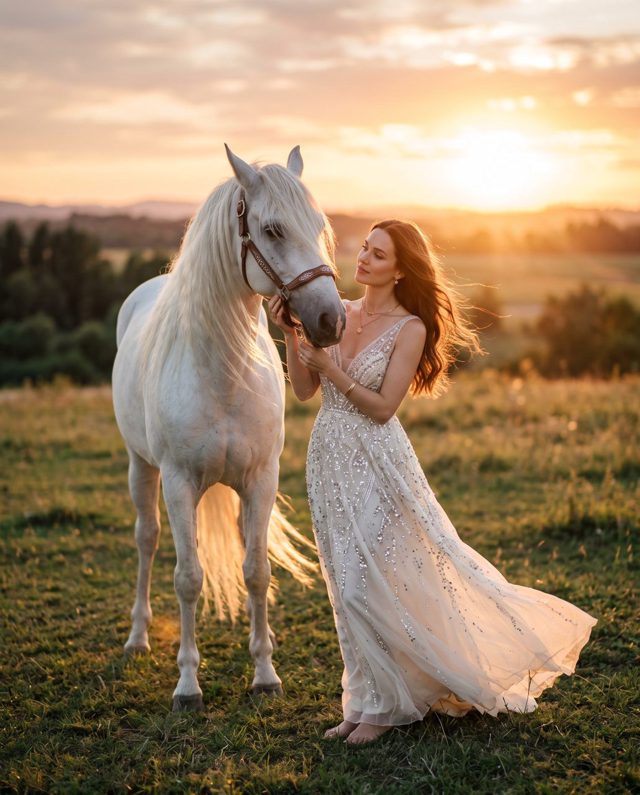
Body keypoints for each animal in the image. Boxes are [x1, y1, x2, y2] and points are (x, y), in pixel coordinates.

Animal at [112, 145, 345, 711]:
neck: (222, 375)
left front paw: (265, 673)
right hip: (140, 468)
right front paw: (187, 684)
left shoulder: (261, 479)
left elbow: (257, 571)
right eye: (273, 229)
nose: (332, 320)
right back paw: (138, 637)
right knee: (148, 540)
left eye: (319, 226)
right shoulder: (178, 484)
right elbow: (188, 578)